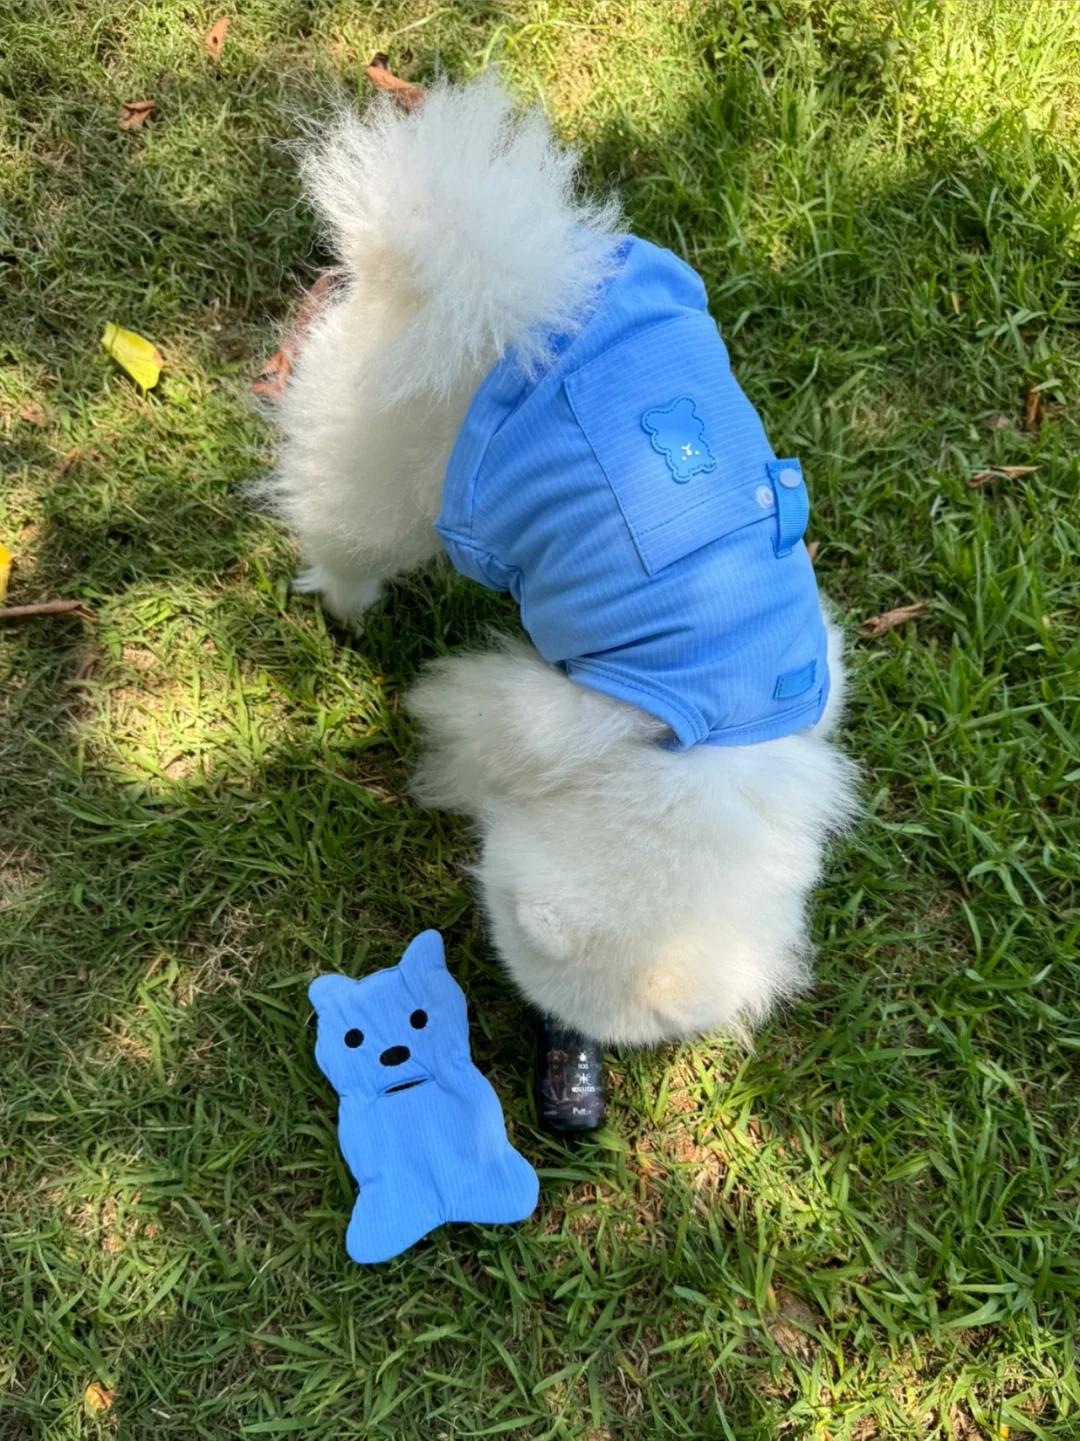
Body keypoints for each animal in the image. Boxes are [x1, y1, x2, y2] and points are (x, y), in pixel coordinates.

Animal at [261, 74, 857, 1048]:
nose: (560, 1051)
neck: (707, 749)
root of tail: (507, 294)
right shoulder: (555, 711)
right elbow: (479, 722)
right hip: (388, 468)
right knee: (339, 523)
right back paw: (346, 602)